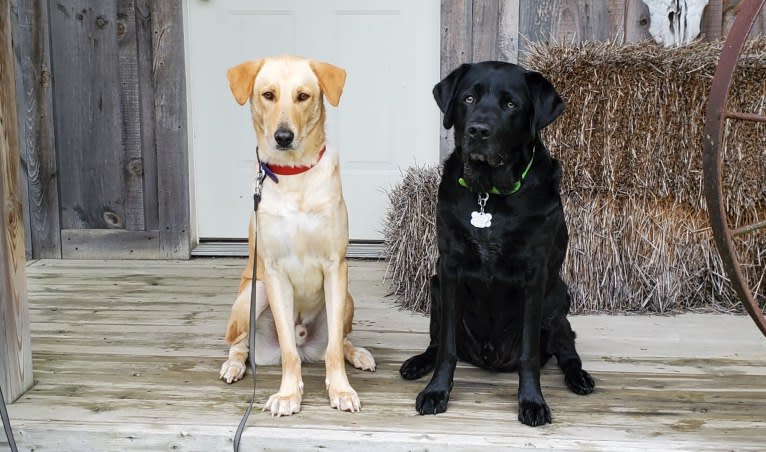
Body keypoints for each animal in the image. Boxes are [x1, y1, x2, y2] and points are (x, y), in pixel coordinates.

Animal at [400, 61, 596, 426]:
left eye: (510, 105)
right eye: (469, 98)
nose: (478, 131)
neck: (488, 194)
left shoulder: (535, 275)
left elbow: (529, 355)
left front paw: (532, 401)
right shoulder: (449, 269)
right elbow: (446, 349)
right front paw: (436, 391)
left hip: (558, 300)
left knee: (567, 351)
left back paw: (579, 377)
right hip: (435, 288)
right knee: (436, 344)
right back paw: (418, 363)